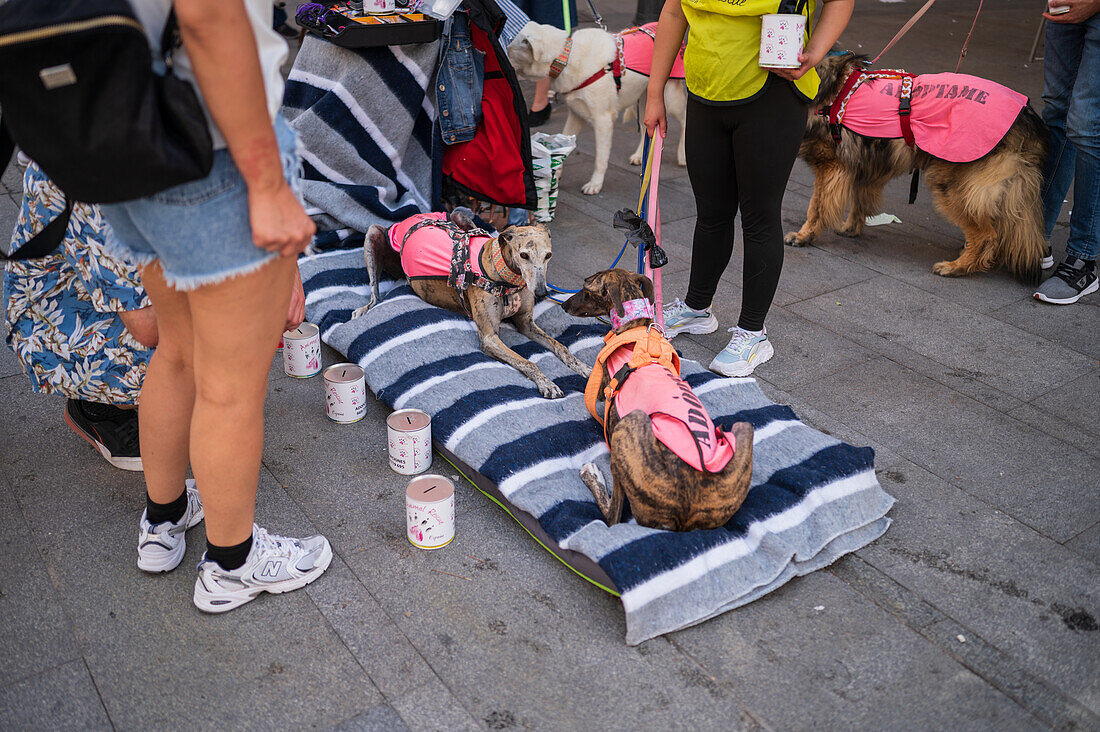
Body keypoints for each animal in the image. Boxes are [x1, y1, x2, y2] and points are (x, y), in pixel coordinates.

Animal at [354, 208, 594, 396]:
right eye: (524, 255)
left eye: (548, 255)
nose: (542, 293)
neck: (505, 277)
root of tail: (415, 216)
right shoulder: (489, 338)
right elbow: (528, 361)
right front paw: (547, 383)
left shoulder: (526, 323)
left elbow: (560, 346)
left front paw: (583, 367)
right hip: (374, 234)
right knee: (375, 291)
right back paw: (364, 308)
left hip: (461, 216)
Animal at [508, 22, 682, 195]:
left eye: (508, 48)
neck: (568, 57)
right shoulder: (575, 114)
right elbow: (563, 144)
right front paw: (555, 174)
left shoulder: (603, 120)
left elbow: (600, 159)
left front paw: (595, 184)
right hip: (647, 101)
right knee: (647, 130)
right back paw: (639, 156)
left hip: (670, 100)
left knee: (684, 119)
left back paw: (682, 156)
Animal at [563, 265, 752, 528]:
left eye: (586, 289)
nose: (563, 305)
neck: (636, 324)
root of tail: (686, 511)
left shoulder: (601, 387)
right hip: (741, 434)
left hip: (626, 429)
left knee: (613, 518)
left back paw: (592, 474)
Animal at [787, 51, 1042, 283]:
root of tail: (1027, 117)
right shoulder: (863, 169)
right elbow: (859, 202)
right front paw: (851, 228)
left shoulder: (830, 168)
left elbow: (816, 207)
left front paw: (804, 236)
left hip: (953, 186)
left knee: (987, 235)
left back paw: (958, 267)